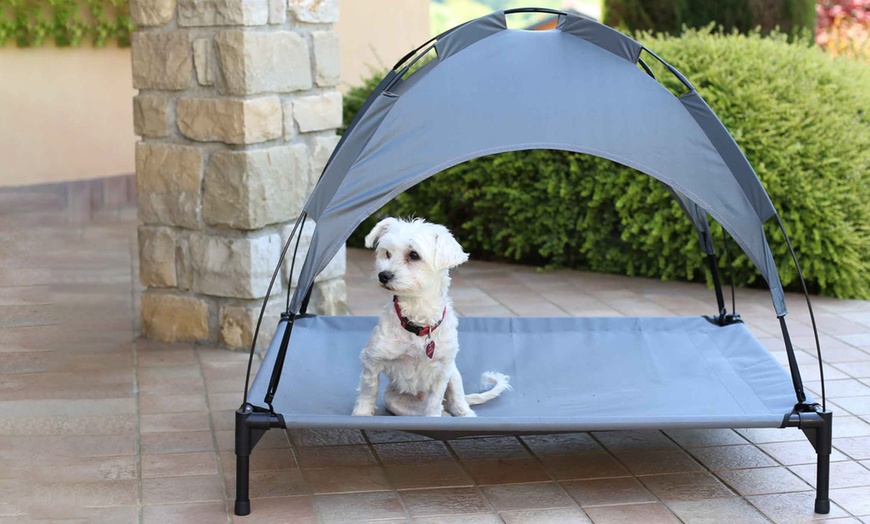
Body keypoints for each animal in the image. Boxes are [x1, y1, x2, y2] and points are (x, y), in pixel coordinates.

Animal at [350, 217, 510, 418]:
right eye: (387, 253)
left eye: (414, 255)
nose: (383, 275)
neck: (418, 320)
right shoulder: (372, 359)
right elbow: (368, 390)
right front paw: (361, 414)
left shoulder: (442, 371)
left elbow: (434, 403)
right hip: (397, 403)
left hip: (454, 376)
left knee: (457, 404)